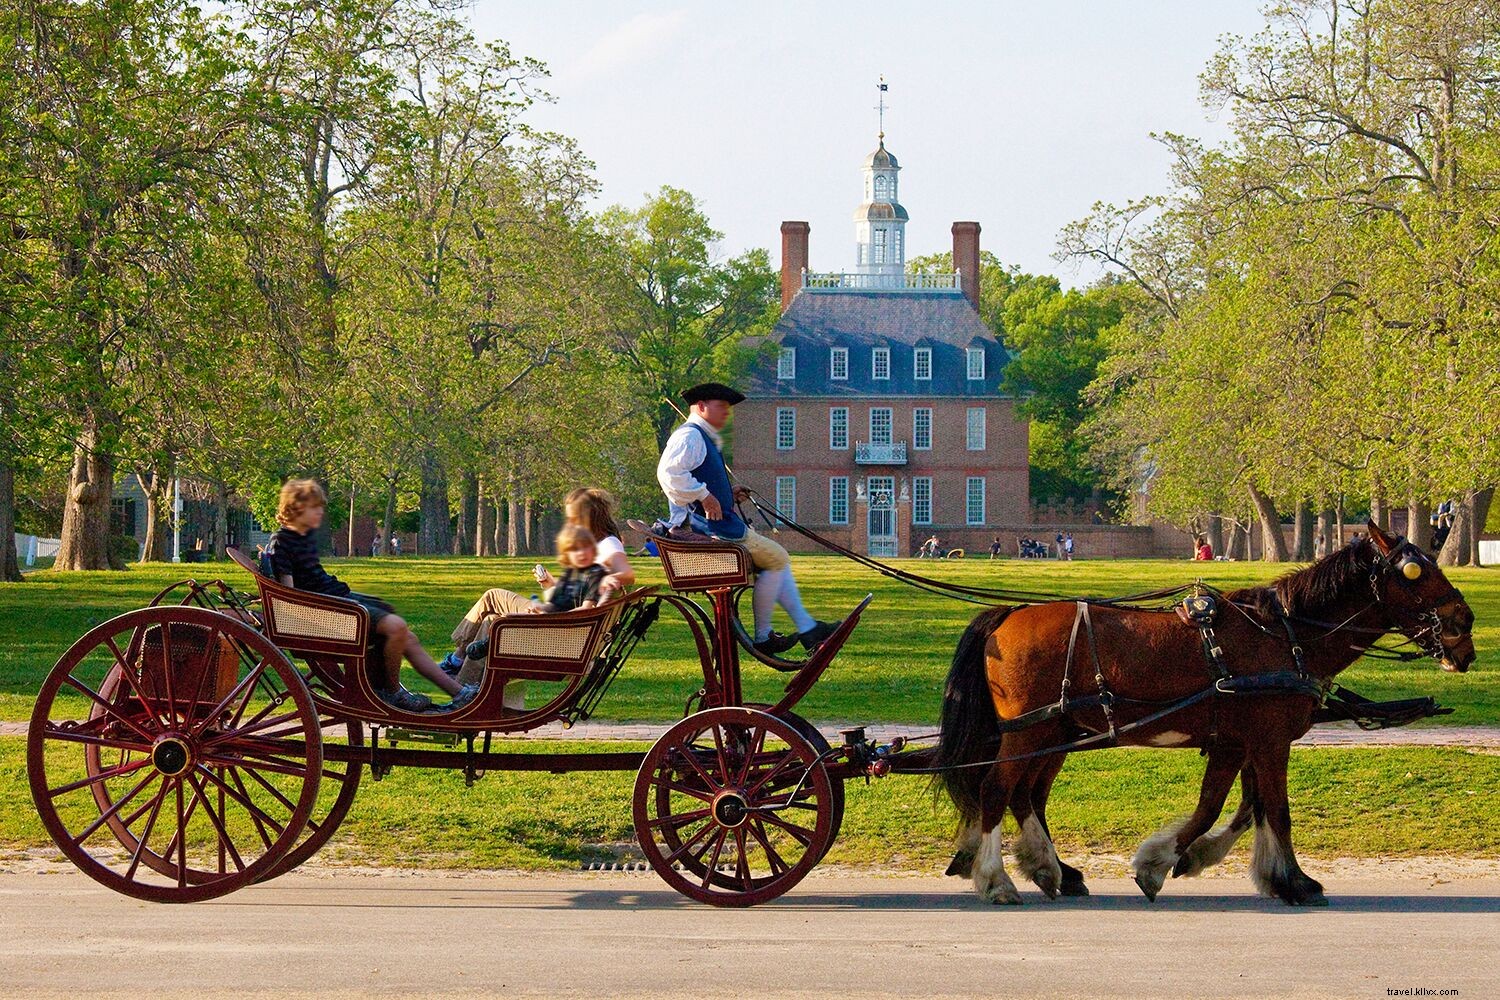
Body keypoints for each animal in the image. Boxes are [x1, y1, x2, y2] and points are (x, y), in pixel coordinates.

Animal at [936, 524, 1476, 905]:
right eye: (1417, 572)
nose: (1465, 625)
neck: (1283, 635)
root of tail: (1007, 615)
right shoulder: (1269, 740)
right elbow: (1273, 810)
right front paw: (1294, 881)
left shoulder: (1240, 742)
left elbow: (1231, 806)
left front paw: (1183, 859)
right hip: (1030, 733)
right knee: (996, 790)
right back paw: (997, 879)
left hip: (1050, 732)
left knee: (1026, 794)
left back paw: (1049, 867)